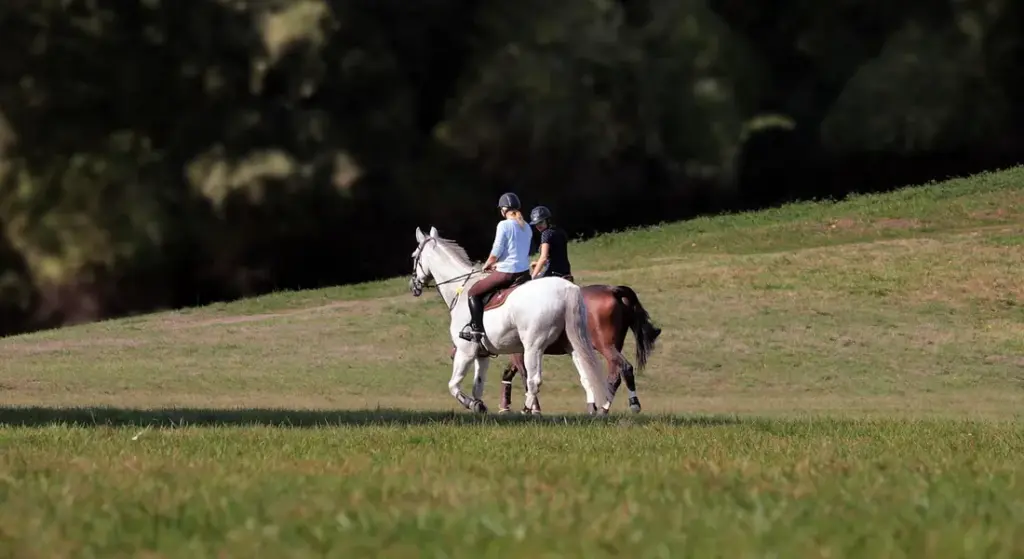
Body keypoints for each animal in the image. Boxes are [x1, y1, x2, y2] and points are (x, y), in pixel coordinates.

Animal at [409, 226, 612, 414]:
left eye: (413, 256)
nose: (413, 287)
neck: (460, 289)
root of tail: (567, 288)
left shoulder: (465, 351)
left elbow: (453, 385)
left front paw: (471, 404)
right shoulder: (482, 354)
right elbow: (478, 386)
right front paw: (479, 405)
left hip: (533, 347)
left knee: (533, 380)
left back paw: (527, 410)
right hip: (572, 344)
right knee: (586, 374)